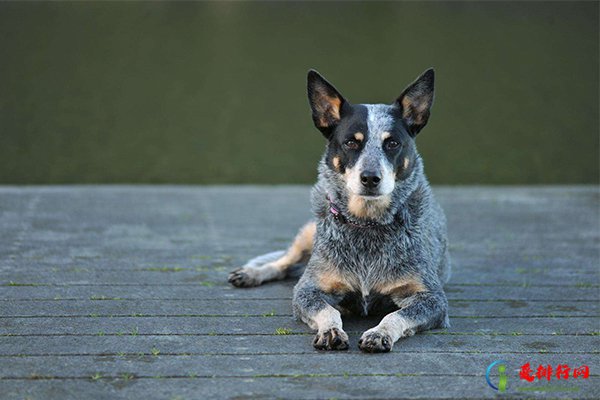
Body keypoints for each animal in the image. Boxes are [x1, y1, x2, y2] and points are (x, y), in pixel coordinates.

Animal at [229, 69, 450, 354]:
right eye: (350, 143)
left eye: (392, 143)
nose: (370, 178)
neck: (366, 224)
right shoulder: (307, 291)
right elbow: (327, 310)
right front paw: (331, 330)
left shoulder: (432, 299)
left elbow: (396, 315)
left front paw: (379, 333)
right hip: (308, 232)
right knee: (284, 262)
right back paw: (252, 274)